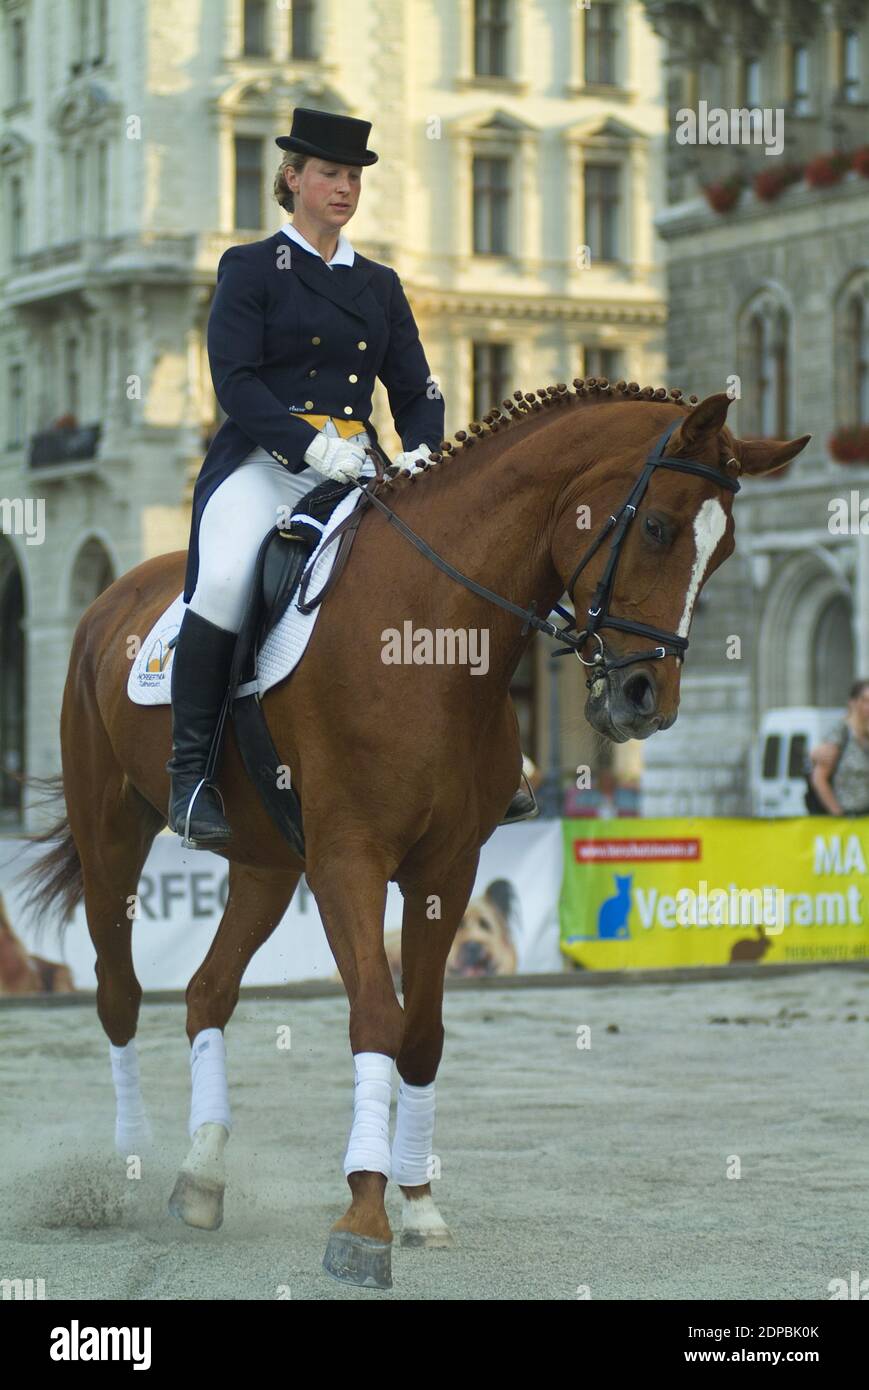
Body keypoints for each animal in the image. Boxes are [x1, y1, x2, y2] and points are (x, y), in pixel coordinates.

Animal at [16, 383, 811, 1289]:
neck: (430, 634)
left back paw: (202, 1172)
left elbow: (422, 1035)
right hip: (112, 836)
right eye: (656, 527)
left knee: (206, 991)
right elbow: (375, 1017)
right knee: (119, 992)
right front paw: (363, 1218)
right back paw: (125, 1167)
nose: (645, 699)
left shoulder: (447, 868)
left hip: (265, 863)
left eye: (724, 550)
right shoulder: (349, 862)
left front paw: (420, 1203)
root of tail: (113, 593)